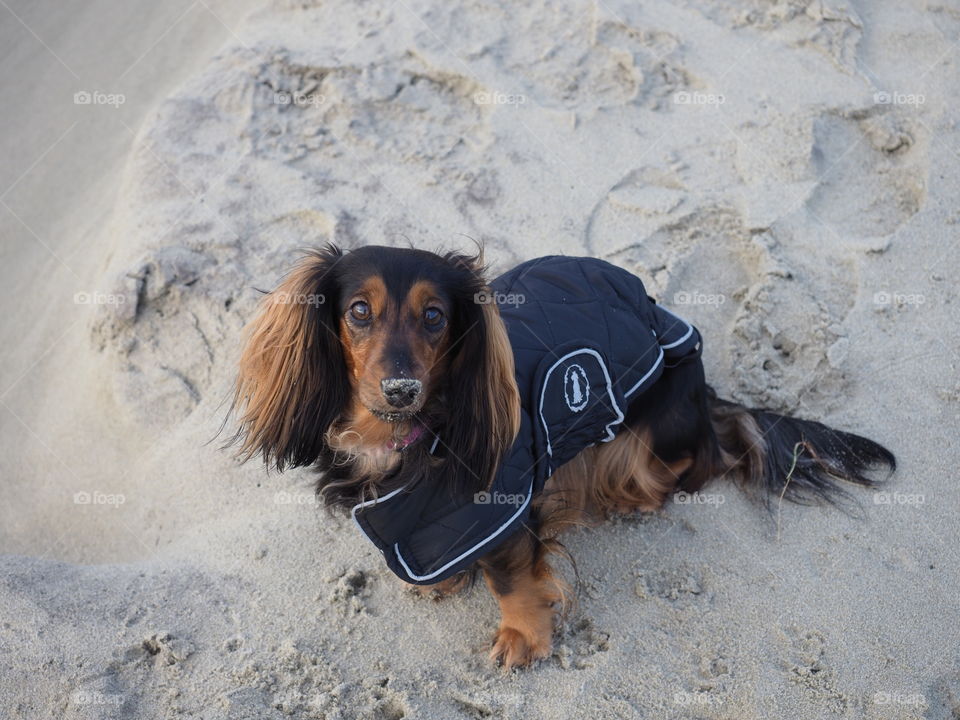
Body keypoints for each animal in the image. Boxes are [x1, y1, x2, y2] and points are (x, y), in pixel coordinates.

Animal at [229, 246, 896, 668]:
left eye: (435, 316)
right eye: (358, 311)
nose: (400, 390)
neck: (401, 442)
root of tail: (704, 391)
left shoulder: (497, 508)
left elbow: (511, 578)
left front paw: (524, 638)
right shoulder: (431, 519)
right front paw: (444, 582)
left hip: (651, 438)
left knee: (696, 464)